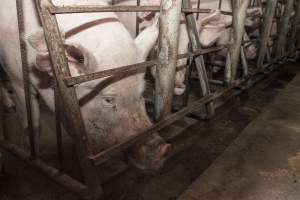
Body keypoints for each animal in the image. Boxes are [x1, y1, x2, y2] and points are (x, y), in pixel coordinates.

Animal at [0, 0, 171, 170]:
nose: (162, 148)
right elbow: (31, 123)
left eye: (141, 92)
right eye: (108, 99)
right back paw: (10, 108)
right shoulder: (17, 79)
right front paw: (31, 156)